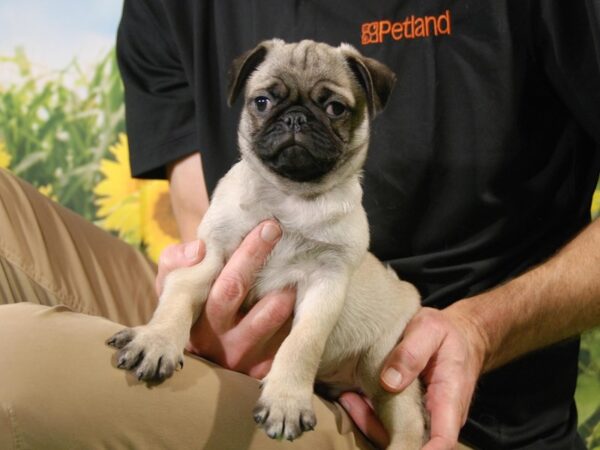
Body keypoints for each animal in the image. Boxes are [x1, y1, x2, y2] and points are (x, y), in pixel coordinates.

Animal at [106, 39, 426, 450]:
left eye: (335, 108)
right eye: (262, 101)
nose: (296, 118)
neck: (290, 196)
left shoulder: (327, 281)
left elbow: (302, 343)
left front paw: (286, 399)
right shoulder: (210, 255)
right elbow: (180, 293)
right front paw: (158, 339)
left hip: (386, 365)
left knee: (410, 426)